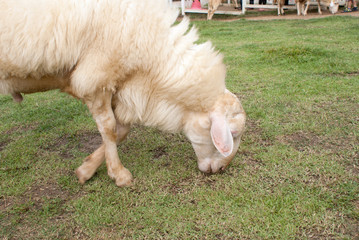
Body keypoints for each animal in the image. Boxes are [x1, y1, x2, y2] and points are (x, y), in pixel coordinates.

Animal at [0, 0, 246, 187]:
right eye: (232, 134)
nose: (220, 170)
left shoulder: (116, 85)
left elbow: (122, 130)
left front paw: (86, 169)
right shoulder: (95, 79)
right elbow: (109, 129)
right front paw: (119, 174)